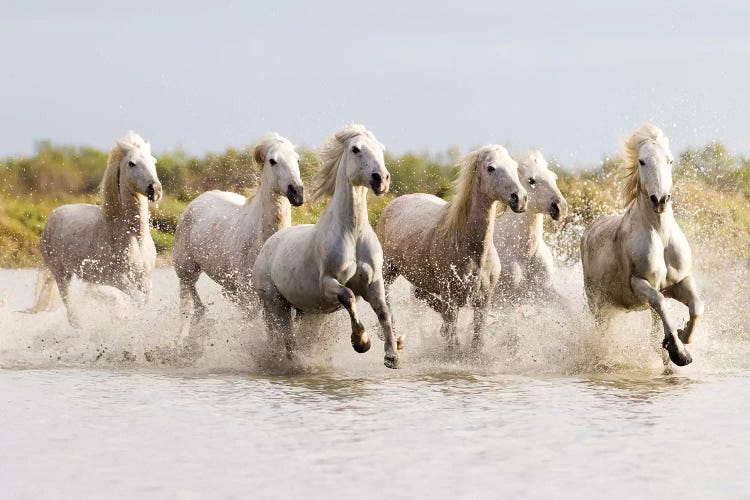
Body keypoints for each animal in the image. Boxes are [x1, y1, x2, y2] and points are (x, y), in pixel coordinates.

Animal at [32, 131, 163, 326]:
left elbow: (145, 301)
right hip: (61, 274)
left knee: (90, 293)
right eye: (131, 163)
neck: (131, 236)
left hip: (90, 276)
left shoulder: (144, 277)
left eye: (153, 161)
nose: (155, 190)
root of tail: (52, 217)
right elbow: (138, 301)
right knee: (70, 309)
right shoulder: (117, 278)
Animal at [253, 124, 402, 368]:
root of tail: (269, 244)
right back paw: (294, 363)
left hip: (305, 309)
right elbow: (348, 297)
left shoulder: (373, 282)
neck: (353, 233)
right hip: (275, 304)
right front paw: (361, 342)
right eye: (355, 149)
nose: (381, 179)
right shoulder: (328, 282)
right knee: (286, 338)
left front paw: (392, 354)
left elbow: (383, 310)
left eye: (380, 148)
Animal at [376, 144, 528, 348]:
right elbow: (453, 344)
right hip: (388, 269)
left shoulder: (483, 302)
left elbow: (476, 342)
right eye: (490, 168)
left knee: (420, 294)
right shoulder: (451, 300)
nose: (519, 198)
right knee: (385, 294)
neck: (473, 250)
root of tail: (395, 202)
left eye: (514, 165)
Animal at [580, 124, 704, 368]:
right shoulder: (639, 283)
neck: (660, 234)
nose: (660, 200)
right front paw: (678, 352)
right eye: (642, 161)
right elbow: (660, 300)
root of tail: (588, 231)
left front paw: (682, 337)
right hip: (598, 303)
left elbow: (696, 306)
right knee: (603, 334)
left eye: (670, 160)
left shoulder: (680, 281)